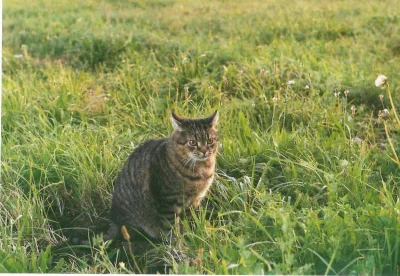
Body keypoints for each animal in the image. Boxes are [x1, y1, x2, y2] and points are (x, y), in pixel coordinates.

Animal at [103, 110, 220, 242]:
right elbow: (171, 227)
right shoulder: (167, 201)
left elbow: (187, 222)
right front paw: (177, 243)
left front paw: (191, 235)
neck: (201, 169)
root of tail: (112, 221)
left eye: (210, 141)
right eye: (192, 142)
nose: (204, 151)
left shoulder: (193, 201)